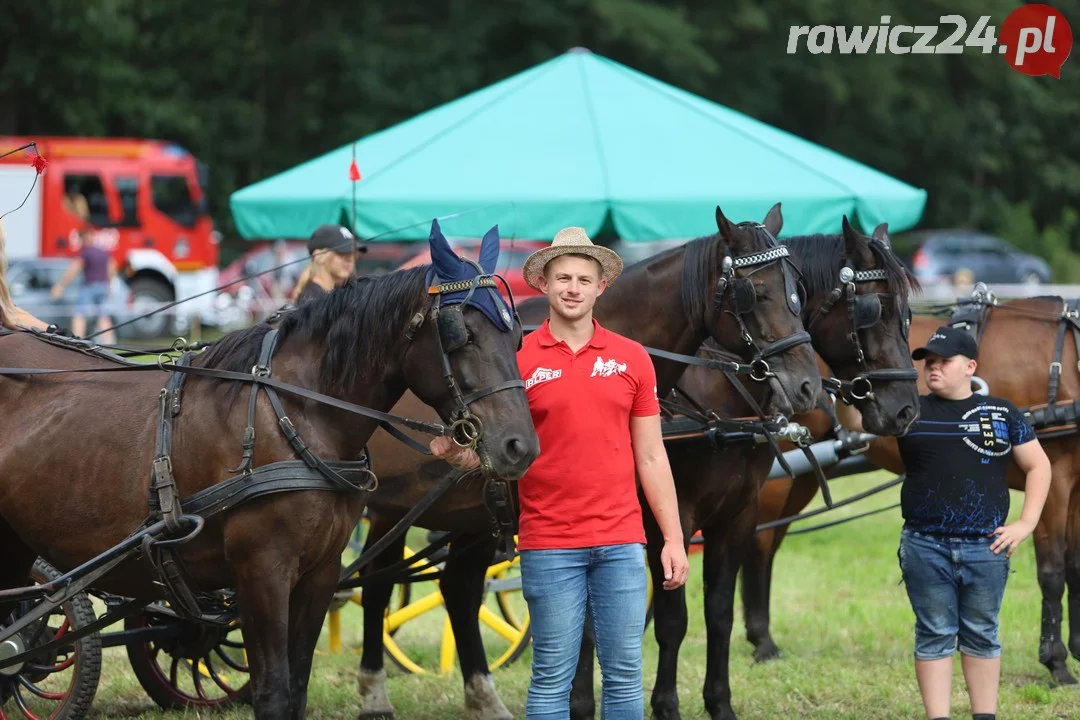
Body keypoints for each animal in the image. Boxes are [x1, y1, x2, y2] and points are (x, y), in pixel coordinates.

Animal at [0, 222, 540, 716]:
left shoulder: (319, 573)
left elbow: (296, 687)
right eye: (461, 334)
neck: (297, 415)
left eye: (516, 335)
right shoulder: (262, 572)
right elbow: (274, 693)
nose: (520, 445)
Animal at [574, 220, 920, 720]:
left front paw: (719, 702)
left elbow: (718, 611)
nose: (906, 411)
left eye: (908, 314)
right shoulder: (669, 517)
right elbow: (672, 619)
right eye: (873, 311)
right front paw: (665, 706)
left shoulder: (739, 512)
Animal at [743, 297, 1080, 686]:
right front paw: (1057, 662)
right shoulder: (1055, 474)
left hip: (806, 475)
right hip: (780, 471)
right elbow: (1052, 571)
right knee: (759, 545)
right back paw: (762, 642)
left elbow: (1075, 566)